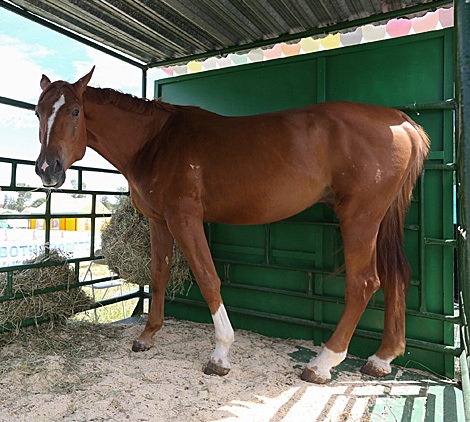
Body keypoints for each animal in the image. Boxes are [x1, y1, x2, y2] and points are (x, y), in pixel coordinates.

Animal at [33, 67, 430, 384]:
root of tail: (404, 123)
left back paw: (322, 363)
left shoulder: (184, 219)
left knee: (363, 283)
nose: (47, 169)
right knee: (395, 276)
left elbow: (208, 278)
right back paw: (381, 358)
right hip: (380, 220)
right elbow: (159, 274)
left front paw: (221, 354)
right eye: (37, 112)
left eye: (75, 110)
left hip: (359, 218)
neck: (156, 142)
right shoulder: (159, 221)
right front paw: (147, 335)